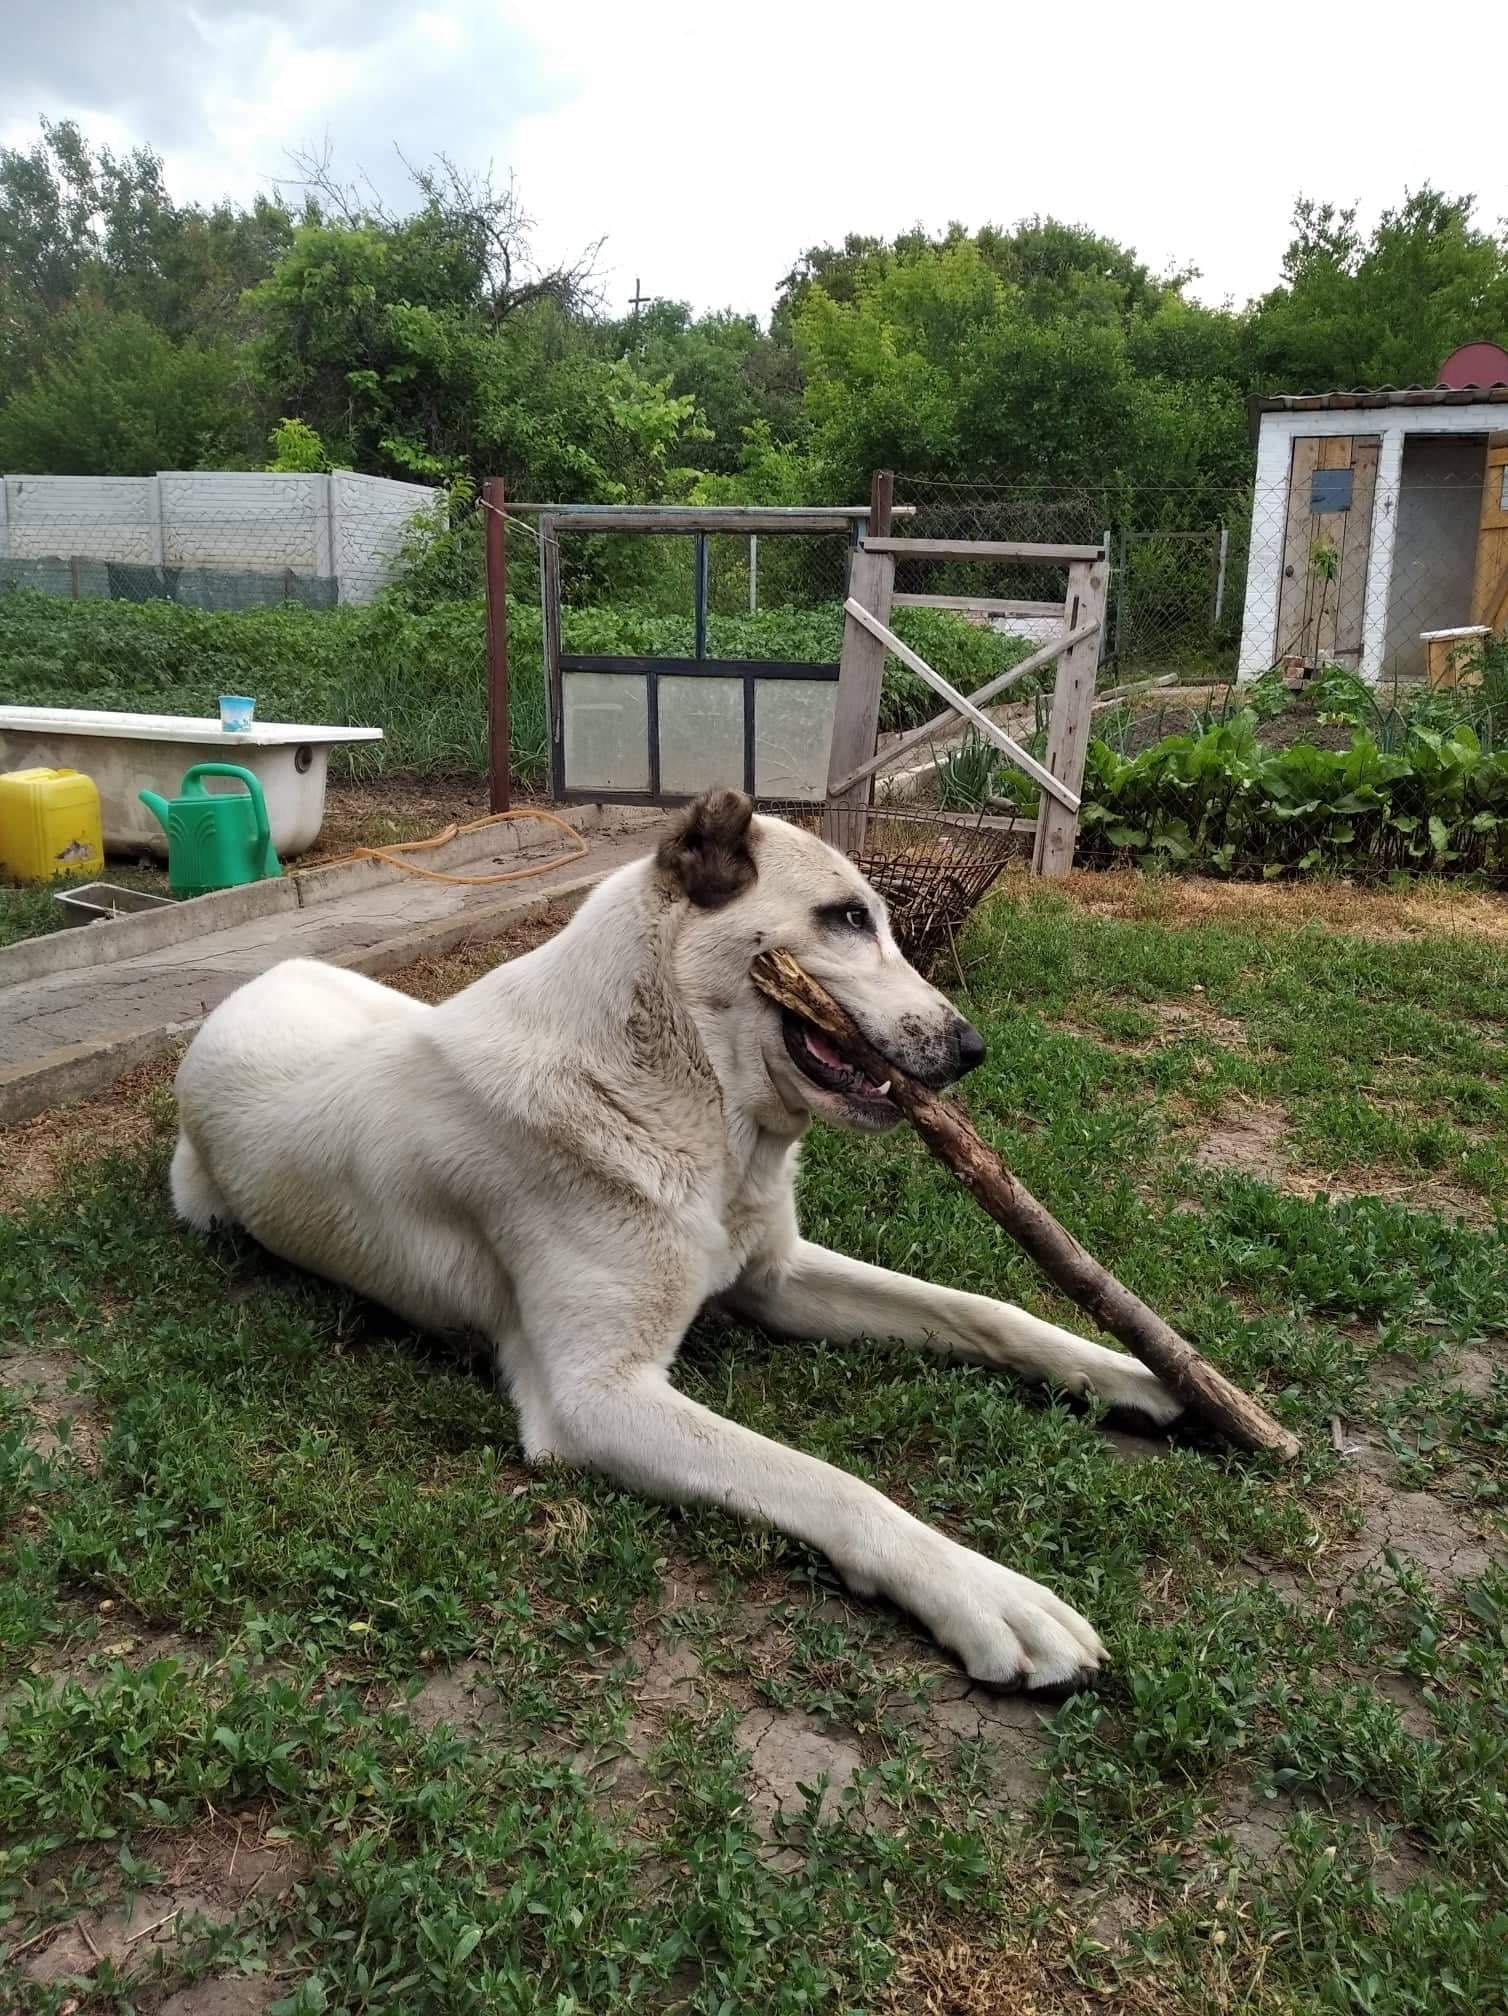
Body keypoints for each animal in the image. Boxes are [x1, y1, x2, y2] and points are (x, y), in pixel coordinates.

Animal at [173, 786, 1177, 1685]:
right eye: (849, 917)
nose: (972, 1051)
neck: (676, 1100)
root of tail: (253, 983)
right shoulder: (595, 1396)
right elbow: (827, 1480)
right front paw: (986, 1595)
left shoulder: (775, 1275)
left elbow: (985, 1309)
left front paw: (1138, 1372)